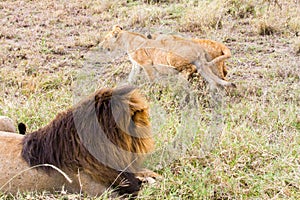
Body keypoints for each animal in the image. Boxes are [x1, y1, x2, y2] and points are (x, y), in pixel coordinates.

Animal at [101, 25, 234, 88]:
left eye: (105, 39)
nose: (100, 45)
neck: (126, 40)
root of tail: (198, 48)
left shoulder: (146, 63)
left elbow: (151, 78)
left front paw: (154, 89)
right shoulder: (136, 64)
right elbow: (131, 77)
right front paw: (126, 86)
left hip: (172, 56)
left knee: (188, 69)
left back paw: (180, 83)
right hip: (202, 64)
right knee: (211, 78)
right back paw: (216, 88)